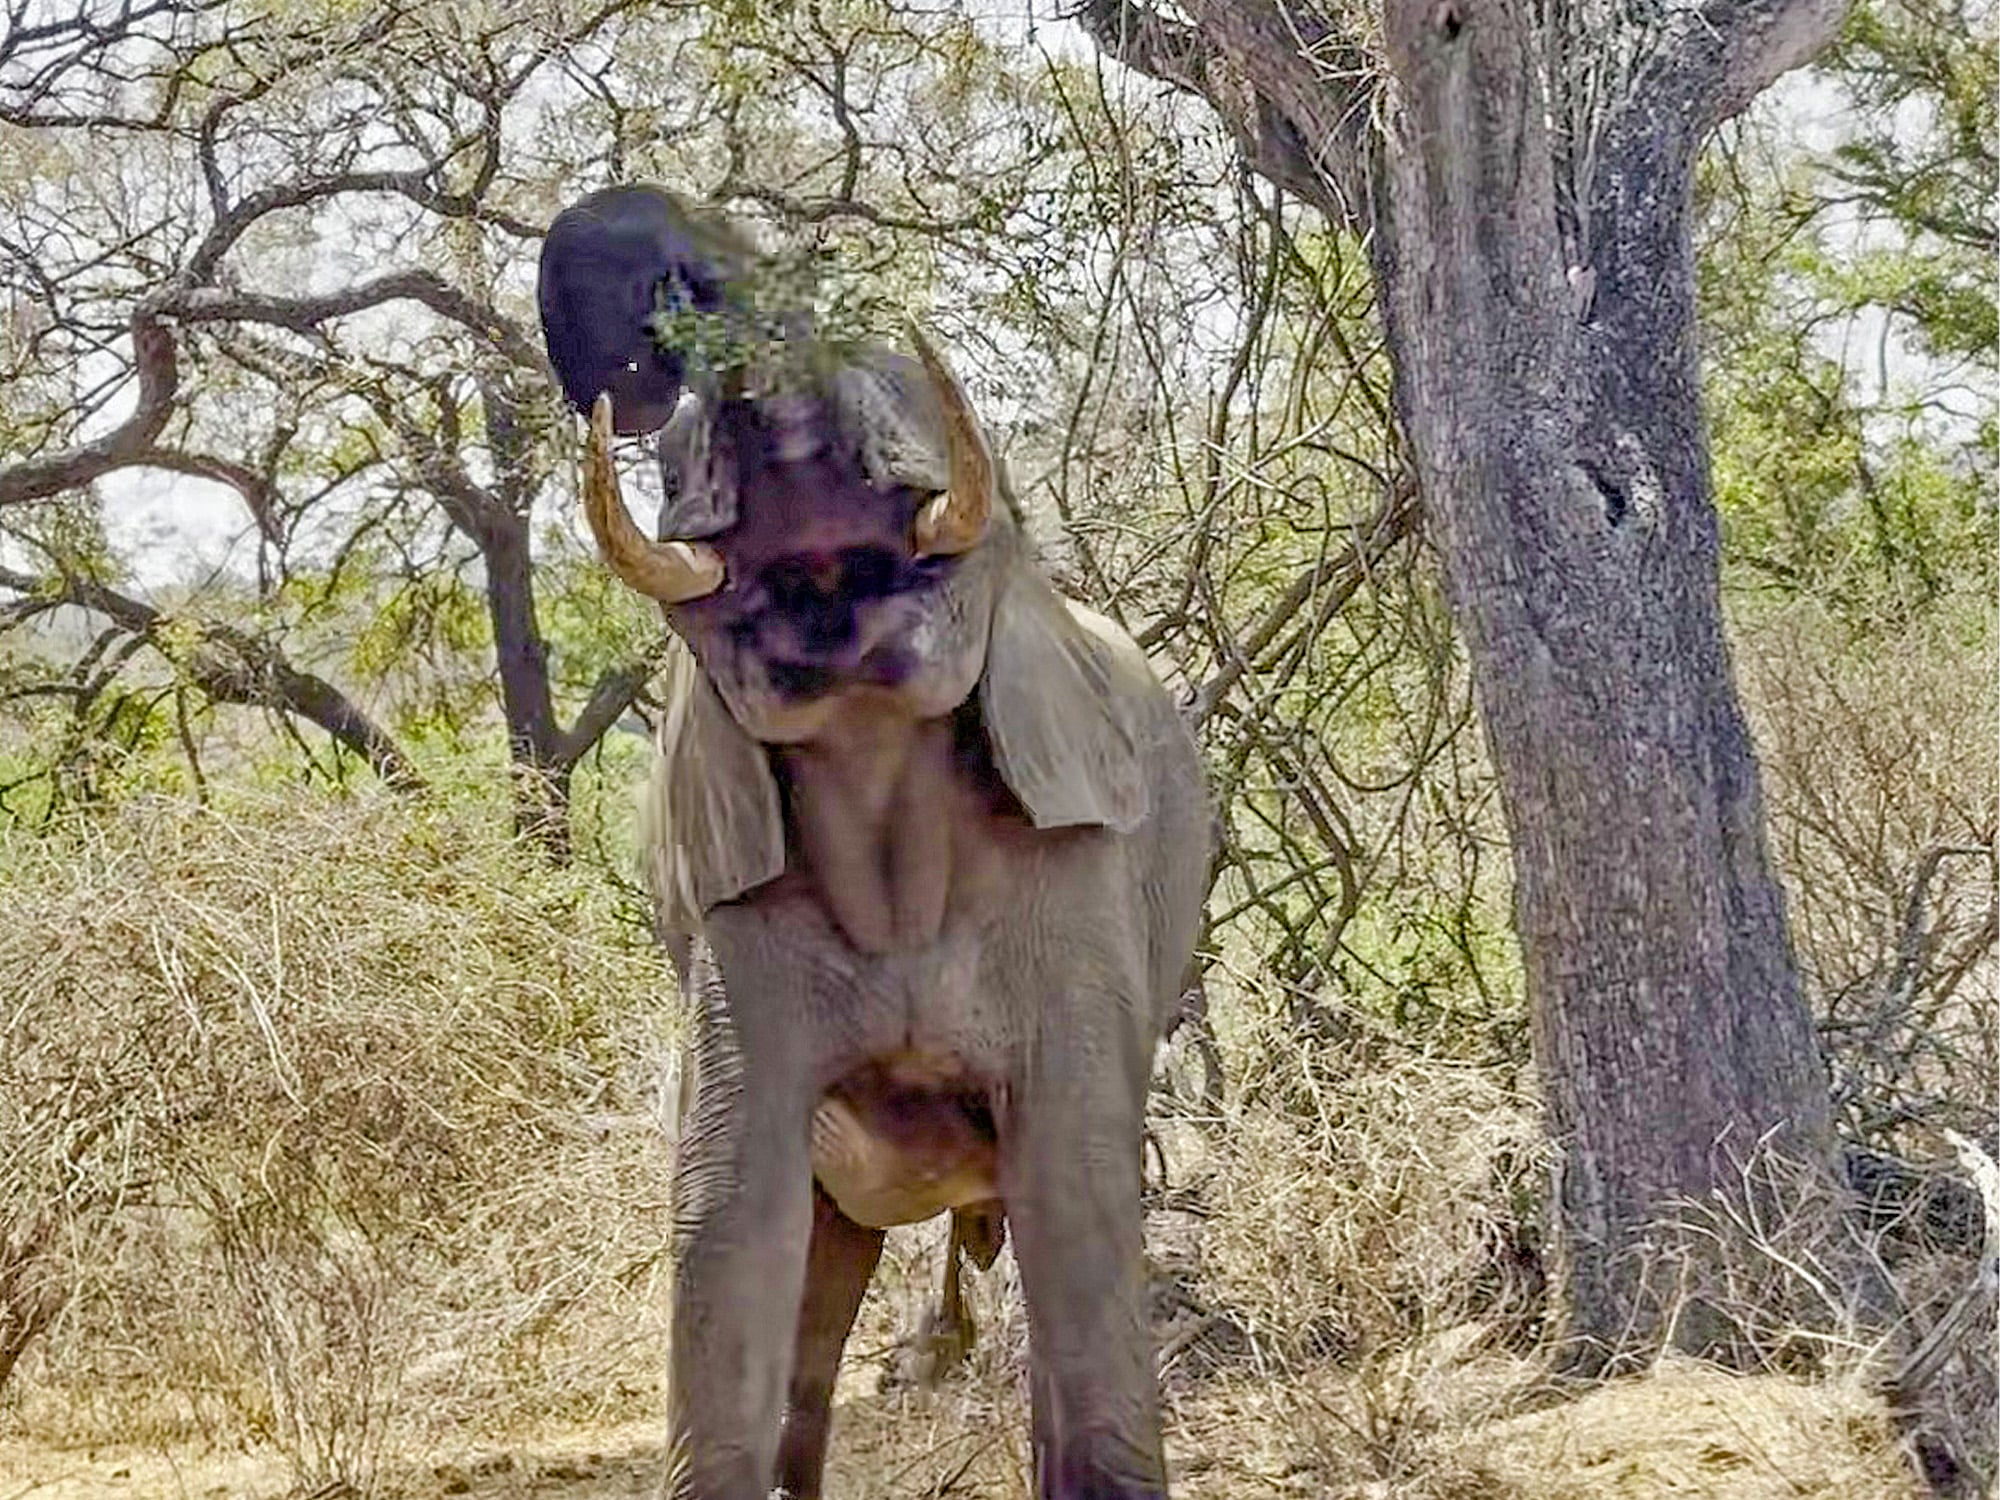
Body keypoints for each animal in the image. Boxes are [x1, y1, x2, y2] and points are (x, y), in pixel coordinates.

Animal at [538, 185, 1211, 1500]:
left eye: (888, 365)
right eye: (678, 455)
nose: (671, 289)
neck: (875, 761)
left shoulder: (1071, 874)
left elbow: (1077, 1183)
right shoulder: (736, 908)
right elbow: (725, 1204)